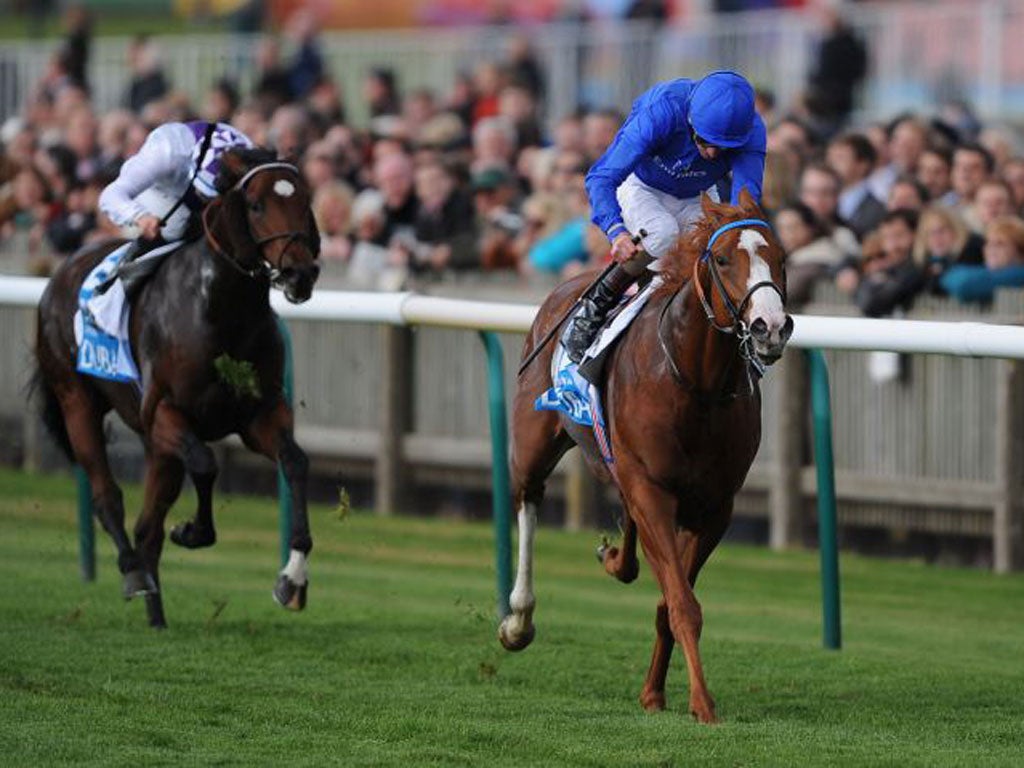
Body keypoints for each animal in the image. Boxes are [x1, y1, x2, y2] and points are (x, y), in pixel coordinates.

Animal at [35, 148, 319, 630]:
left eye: (304, 200)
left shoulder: (259, 414)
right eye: (257, 205)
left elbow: (295, 462)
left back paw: (157, 617)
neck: (220, 308)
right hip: (77, 402)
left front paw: (291, 580)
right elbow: (205, 464)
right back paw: (134, 574)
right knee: (108, 498)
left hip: (157, 446)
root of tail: (58, 277)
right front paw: (192, 531)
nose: (301, 273)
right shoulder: (165, 413)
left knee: (147, 526)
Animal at [499, 189, 794, 724]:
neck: (697, 383)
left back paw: (617, 559)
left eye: (781, 259)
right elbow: (682, 604)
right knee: (527, 499)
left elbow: (670, 602)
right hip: (535, 440)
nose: (771, 328)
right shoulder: (654, 490)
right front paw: (702, 704)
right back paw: (518, 621)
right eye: (723, 259)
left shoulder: (713, 507)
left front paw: (654, 693)